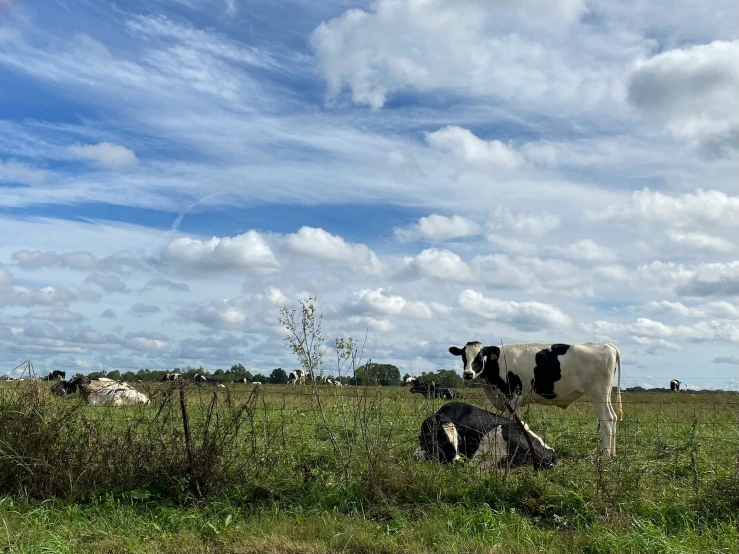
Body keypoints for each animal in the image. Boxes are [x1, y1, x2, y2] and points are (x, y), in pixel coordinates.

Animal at [450, 340, 624, 452]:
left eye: (480, 357)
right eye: (463, 357)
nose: (468, 373)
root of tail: (607, 345)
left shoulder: (513, 398)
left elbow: (510, 422)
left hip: (597, 393)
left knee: (607, 420)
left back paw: (606, 455)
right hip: (605, 394)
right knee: (614, 417)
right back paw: (613, 454)